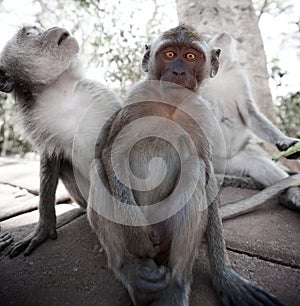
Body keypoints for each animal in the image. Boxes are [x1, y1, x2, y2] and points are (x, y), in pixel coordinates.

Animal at [0, 25, 122, 256]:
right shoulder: (38, 121)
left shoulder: (101, 96)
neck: (61, 90)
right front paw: (44, 228)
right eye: (30, 33)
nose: (52, 28)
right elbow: (51, 159)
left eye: (37, 29)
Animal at [87, 23, 284, 306]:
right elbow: (110, 153)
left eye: (191, 56)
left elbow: (207, 172)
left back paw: (176, 286)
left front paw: (224, 277)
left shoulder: (202, 115)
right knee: (98, 171)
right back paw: (131, 271)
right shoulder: (135, 100)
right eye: (169, 54)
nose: (179, 71)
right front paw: (137, 239)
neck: (171, 104)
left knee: (194, 171)